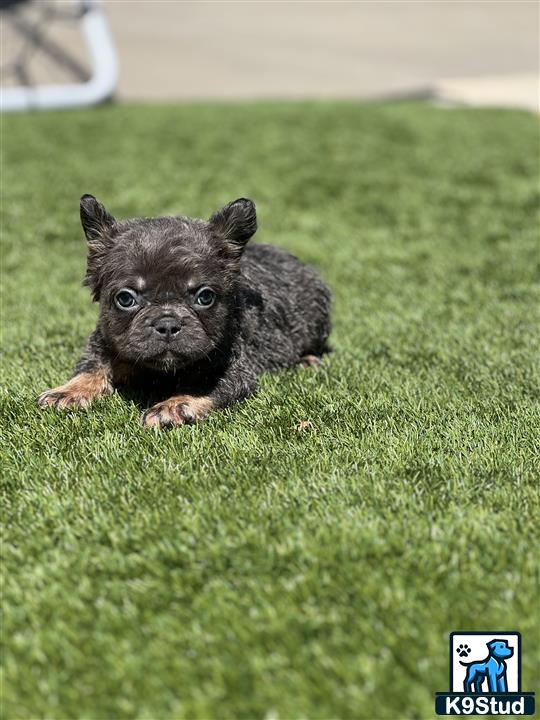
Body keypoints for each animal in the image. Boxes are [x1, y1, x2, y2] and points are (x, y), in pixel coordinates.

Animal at [38, 195, 332, 428]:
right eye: (125, 298)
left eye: (205, 297)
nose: (167, 323)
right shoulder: (104, 342)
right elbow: (91, 367)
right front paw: (68, 390)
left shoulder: (231, 369)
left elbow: (205, 387)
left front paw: (173, 406)